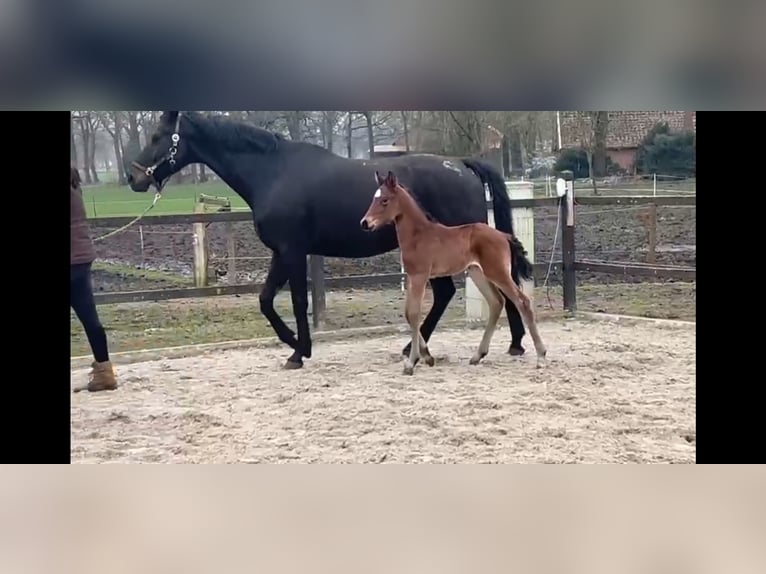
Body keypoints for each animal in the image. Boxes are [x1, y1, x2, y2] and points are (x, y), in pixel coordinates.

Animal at [364, 171, 548, 378]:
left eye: (385, 200)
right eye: (374, 198)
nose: (365, 223)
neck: (418, 235)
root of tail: (503, 235)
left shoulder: (420, 276)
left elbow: (414, 313)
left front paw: (412, 362)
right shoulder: (411, 277)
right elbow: (408, 314)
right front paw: (427, 357)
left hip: (498, 272)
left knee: (522, 301)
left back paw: (541, 357)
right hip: (477, 273)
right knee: (496, 302)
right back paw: (478, 355)